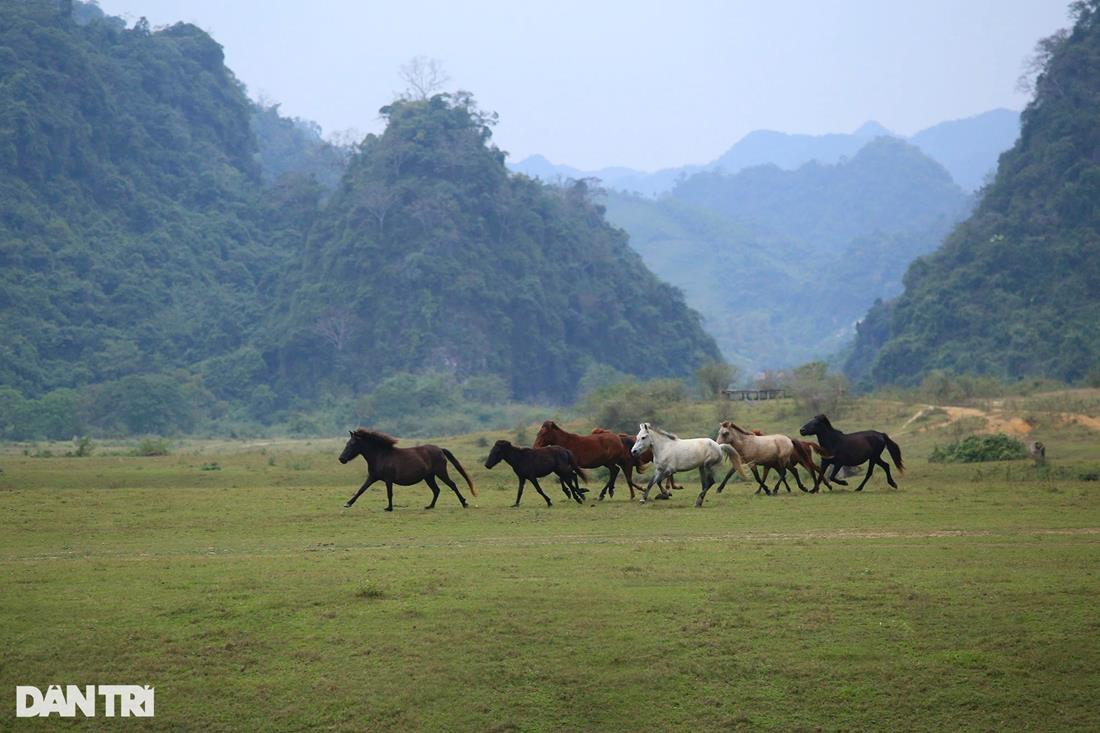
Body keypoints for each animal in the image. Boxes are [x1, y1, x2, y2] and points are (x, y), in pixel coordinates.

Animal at [334, 424, 473, 510]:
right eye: (347, 443)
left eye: (352, 443)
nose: (341, 459)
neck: (381, 455)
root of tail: (440, 449)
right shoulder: (372, 477)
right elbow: (361, 490)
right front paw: (348, 503)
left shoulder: (388, 479)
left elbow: (389, 493)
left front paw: (389, 508)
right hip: (429, 477)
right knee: (436, 490)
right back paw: (430, 506)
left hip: (440, 472)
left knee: (452, 485)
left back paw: (464, 503)